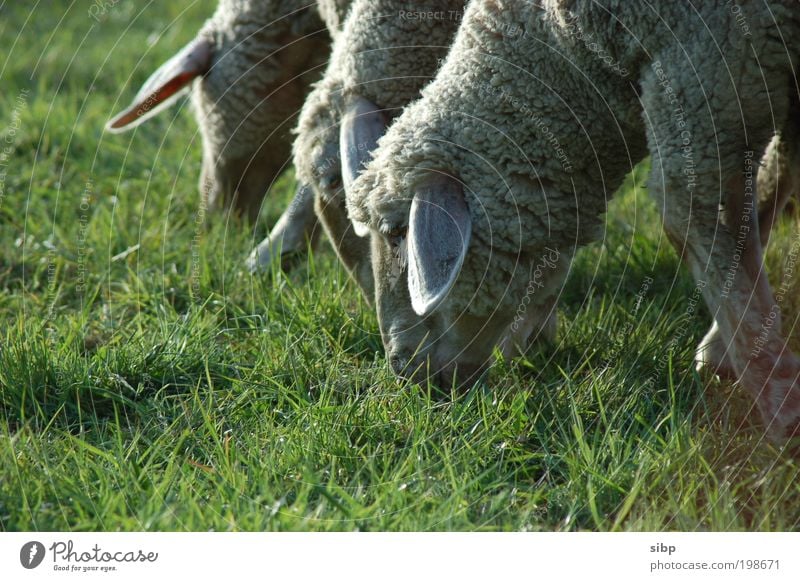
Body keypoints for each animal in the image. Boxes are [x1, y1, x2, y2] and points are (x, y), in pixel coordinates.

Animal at [348, 0, 800, 438]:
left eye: (395, 232)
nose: (402, 370)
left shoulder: (703, 69)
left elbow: (695, 218)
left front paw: (778, 399)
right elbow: (764, 192)